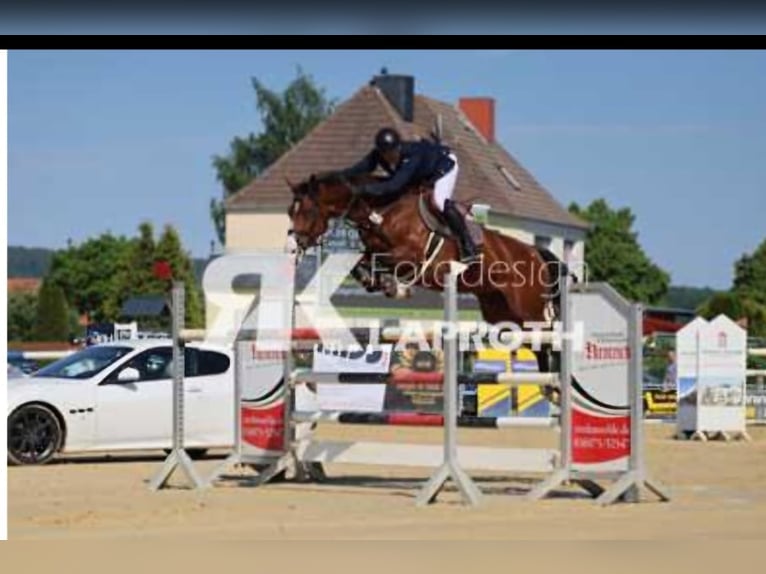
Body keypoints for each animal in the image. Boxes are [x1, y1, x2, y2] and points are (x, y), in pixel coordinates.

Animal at [284, 172, 568, 328]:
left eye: (307, 211)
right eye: (289, 211)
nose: (291, 247)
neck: (383, 211)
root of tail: (535, 252)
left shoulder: (410, 257)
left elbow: (381, 262)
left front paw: (393, 287)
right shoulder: (374, 250)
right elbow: (361, 263)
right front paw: (380, 284)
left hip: (528, 309)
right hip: (500, 311)